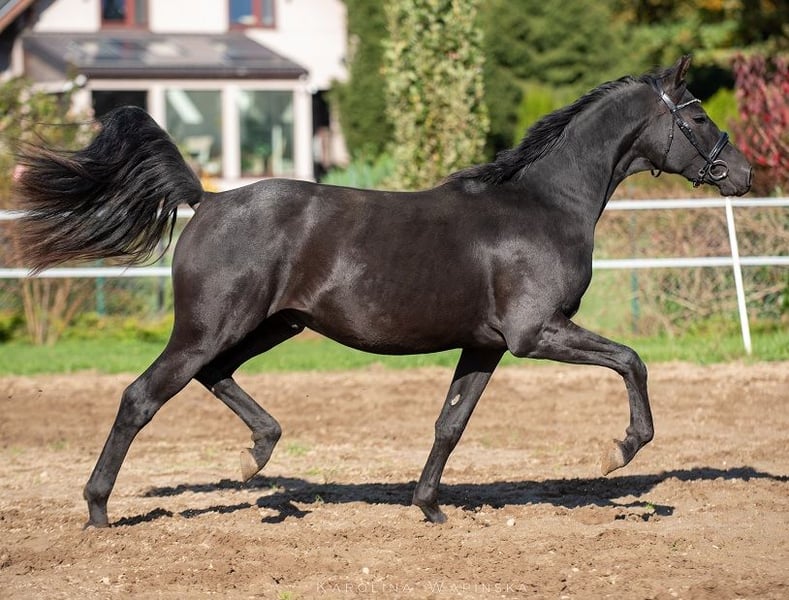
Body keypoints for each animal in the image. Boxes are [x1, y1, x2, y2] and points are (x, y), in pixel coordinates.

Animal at [15, 55, 752, 527]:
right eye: (697, 115)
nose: (743, 173)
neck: (544, 206)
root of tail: (210, 199)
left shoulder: (486, 345)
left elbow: (451, 423)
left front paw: (428, 507)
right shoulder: (535, 332)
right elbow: (631, 360)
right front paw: (618, 451)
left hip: (269, 325)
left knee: (211, 377)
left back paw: (259, 457)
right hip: (212, 326)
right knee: (142, 397)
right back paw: (99, 510)